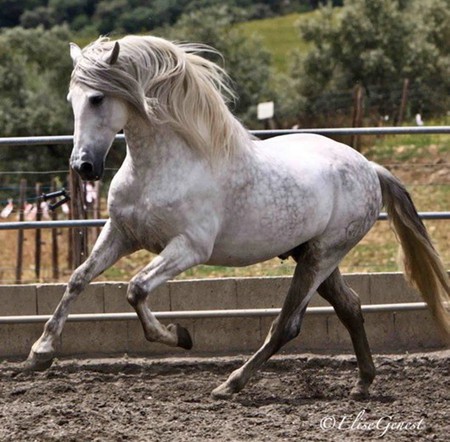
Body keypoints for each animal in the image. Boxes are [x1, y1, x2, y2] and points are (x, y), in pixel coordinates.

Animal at [25, 35, 450, 400]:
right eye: (72, 98)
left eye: (97, 98)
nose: (83, 166)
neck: (164, 166)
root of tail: (368, 167)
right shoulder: (120, 233)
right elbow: (78, 279)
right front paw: (40, 352)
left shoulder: (189, 249)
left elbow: (136, 289)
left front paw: (181, 335)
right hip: (312, 255)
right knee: (351, 307)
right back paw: (362, 383)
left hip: (322, 255)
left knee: (288, 325)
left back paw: (231, 383)